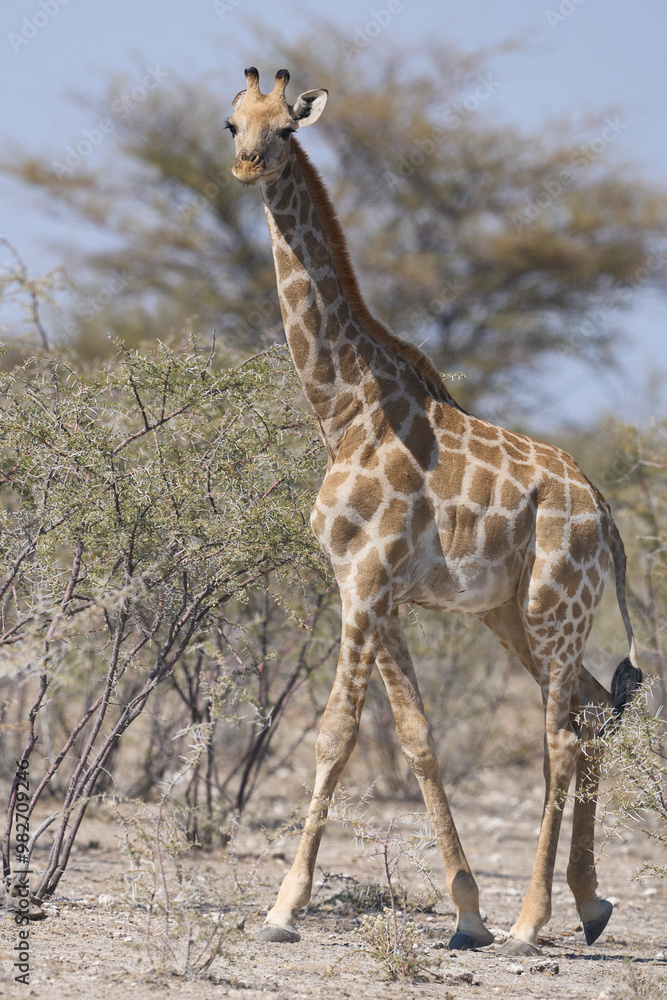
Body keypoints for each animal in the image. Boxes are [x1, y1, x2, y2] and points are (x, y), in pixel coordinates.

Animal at [226, 66, 643, 956]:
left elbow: (335, 734)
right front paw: (465, 912)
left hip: (553, 604)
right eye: (231, 123)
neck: (342, 408)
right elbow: (415, 736)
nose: (246, 165)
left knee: (560, 734)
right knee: (593, 710)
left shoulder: (363, 583)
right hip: (507, 612)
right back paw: (587, 903)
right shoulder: (373, 590)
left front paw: (283, 907)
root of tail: (603, 510)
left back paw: (532, 921)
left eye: (287, 128)